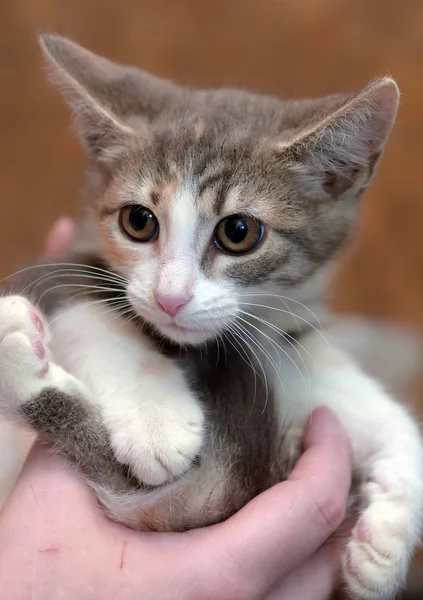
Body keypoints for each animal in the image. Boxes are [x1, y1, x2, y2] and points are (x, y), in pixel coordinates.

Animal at [0, 35, 422, 596]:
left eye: (239, 232)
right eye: (138, 221)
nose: (170, 299)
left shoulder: (288, 346)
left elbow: (382, 414)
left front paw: (386, 544)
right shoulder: (59, 262)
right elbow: (89, 314)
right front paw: (155, 418)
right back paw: (15, 350)